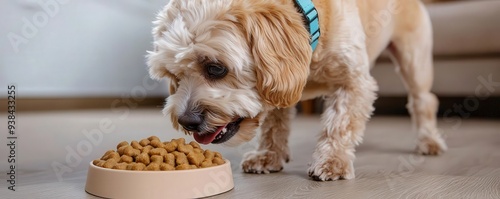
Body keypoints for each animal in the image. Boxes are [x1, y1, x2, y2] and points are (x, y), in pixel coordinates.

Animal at [146, 0, 448, 180]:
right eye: (174, 75)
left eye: (216, 68)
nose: (187, 121)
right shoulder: (279, 83)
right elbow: (274, 125)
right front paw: (269, 155)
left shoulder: (354, 82)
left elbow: (340, 123)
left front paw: (333, 160)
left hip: (414, 60)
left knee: (424, 100)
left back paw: (429, 141)